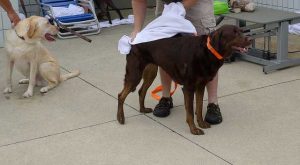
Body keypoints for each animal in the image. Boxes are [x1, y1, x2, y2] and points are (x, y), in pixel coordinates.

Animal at [116, 25, 251, 135]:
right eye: (234, 33)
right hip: (134, 74)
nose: (250, 39)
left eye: (241, 31)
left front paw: (201, 123)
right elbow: (190, 111)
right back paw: (120, 118)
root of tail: (134, 41)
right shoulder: (189, 87)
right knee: (121, 95)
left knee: (141, 91)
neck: (208, 51)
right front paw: (194, 129)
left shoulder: (200, 86)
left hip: (150, 71)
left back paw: (142, 109)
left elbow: (199, 107)